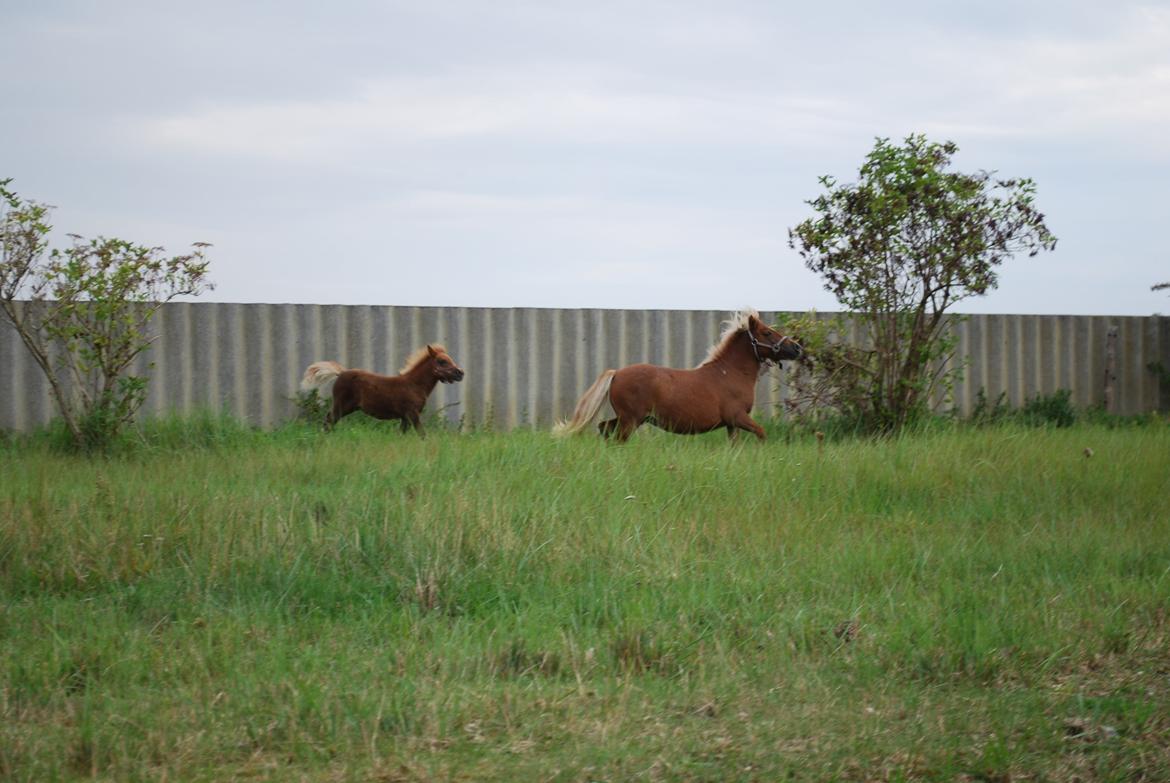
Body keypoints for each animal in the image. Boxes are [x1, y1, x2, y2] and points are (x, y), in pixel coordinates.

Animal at [299, 344, 463, 437]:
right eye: (442, 361)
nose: (460, 373)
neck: (414, 385)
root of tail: (340, 373)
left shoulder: (404, 417)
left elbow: (401, 434)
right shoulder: (412, 413)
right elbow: (422, 434)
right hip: (341, 406)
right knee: (329, 420)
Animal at [552, 311, 800, 444]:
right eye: (767, 332)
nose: (796, 348)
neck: (730, 373)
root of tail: (617, 373)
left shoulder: (732, 424)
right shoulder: (737, 416)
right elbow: (761, 433)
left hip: (629, 418)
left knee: (604, 428)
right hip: (630, 420)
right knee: (617, 438)